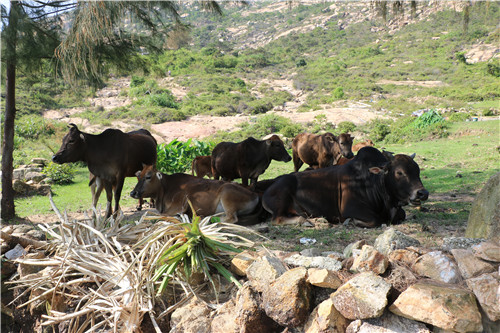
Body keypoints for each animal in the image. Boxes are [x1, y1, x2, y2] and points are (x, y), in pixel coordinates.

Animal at [131, 164, 260, 223]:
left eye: (148, 176)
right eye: (138, 176)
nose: (133, 193)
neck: (166, 187)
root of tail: (254, 194)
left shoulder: (177, 206)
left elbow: (150, 215)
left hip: (226, 193)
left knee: (231, 218)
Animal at [262, 147, 430, 227]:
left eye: (417, 170)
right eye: (399, 172)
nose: (422, 193)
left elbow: (402, 215)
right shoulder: (352, 209)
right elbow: (375, 220)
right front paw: (350, 222)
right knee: (277, 219)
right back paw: (305, 221)